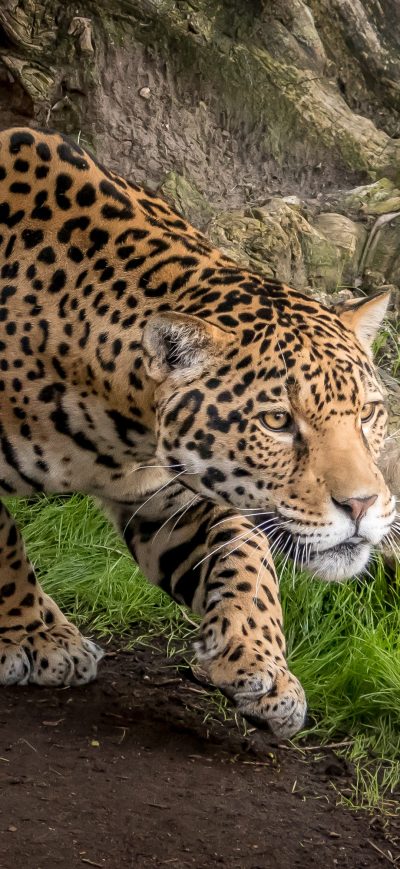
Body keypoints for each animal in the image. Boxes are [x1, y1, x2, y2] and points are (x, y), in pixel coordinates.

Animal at [0, 126, 395, 738]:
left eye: (368, 413)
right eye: (277, 421)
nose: (362, 505)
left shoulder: (167, 494)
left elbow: (247, 552)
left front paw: (260, 664)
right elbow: (5, 543)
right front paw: (34, 637)